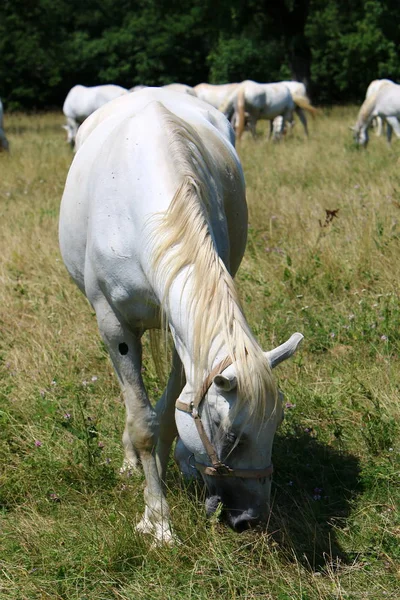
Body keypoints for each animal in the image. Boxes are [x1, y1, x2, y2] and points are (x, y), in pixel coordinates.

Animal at [59, 88, 304, 544]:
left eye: (277, 422)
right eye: (229, 433)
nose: (250, 519)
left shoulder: (184, 330)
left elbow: (174, 405)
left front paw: (174, 464)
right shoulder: (114, 326)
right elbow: (143, 421)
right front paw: (156, 520)